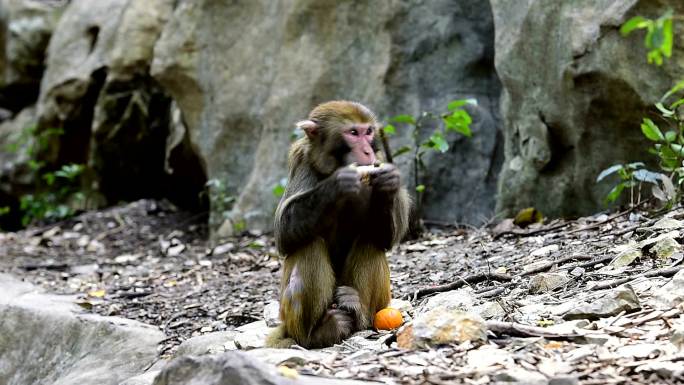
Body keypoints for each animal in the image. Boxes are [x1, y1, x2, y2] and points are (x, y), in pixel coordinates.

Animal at [264, 100, 408, 348]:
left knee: (370, 240)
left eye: (368, 131)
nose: (368, 151)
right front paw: (336, 185)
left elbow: (385, 238)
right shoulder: (302, 161)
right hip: (289, 315)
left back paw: (357, 310)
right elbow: (283, 233)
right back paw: (318, 332)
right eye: (353, 133)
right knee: (309, 245)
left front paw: (388, 182)